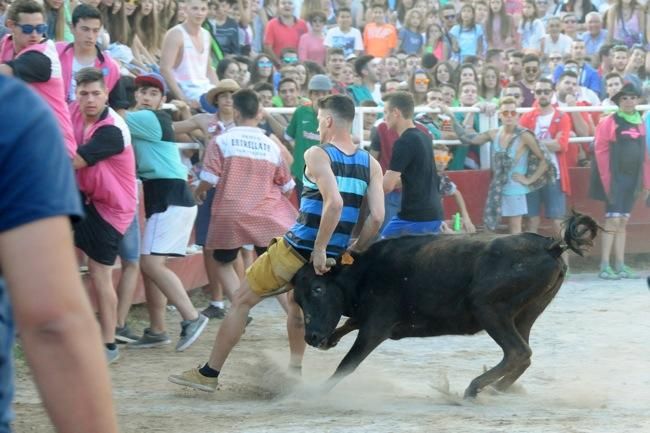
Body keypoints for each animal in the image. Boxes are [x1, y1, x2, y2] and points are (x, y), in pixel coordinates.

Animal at [290, 211, 596, 396]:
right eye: (298, 297)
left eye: (318, 289)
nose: (312, 337)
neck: (365, 272)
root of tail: (551, 246)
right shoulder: (367, 318)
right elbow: (349, 323)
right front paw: (332, 339)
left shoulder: (376, 326)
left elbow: (348, 362)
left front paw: (317, 393)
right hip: (526, 314)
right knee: (524, 354)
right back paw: (495, 389)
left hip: (488, 308)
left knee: (517, 352)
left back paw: (474, 389)